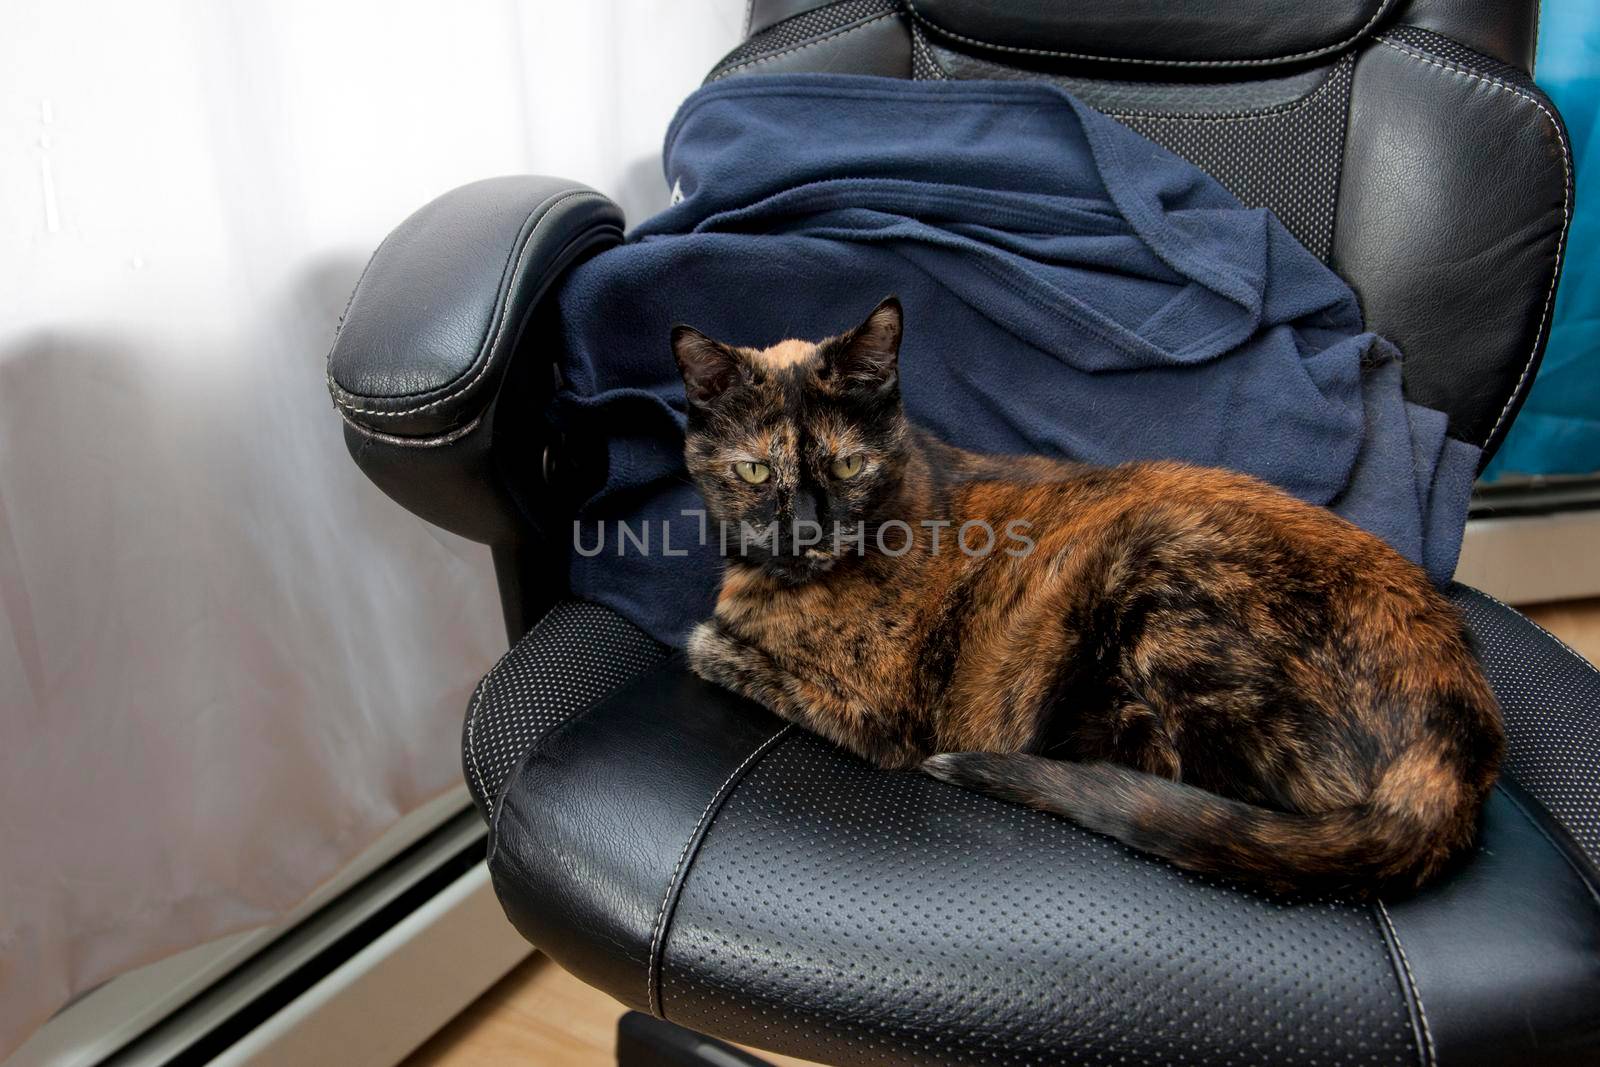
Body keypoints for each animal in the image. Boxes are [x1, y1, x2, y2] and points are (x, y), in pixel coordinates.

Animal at [672, 295, 1497, 895]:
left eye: (847, 465)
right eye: (755, 471)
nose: (810, 530)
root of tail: (1461, 736)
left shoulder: (875, 714)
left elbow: (705, 642)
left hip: (1152, 562)